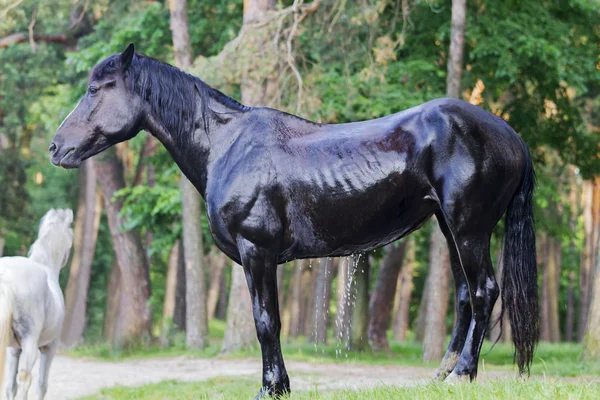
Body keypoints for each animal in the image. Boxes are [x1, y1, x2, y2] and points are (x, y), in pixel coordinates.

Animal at [0, 209, 74, 400]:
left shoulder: (13, 349)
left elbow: (10, 386)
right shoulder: (50, 347)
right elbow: (41, 385)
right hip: (30, 342)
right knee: (26, 378)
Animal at [50, 44, 540, 396]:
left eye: (98, 88)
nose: (56, 147)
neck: (228, 145)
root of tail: (509, 134)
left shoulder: (257, 252)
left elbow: (266, 321)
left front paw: (272, 388)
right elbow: (268, 322)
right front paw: (278, 385)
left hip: (468, 228)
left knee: (484, 291)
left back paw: (462, 373)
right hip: (450, 228)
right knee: (465, 297)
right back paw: (443, 375)